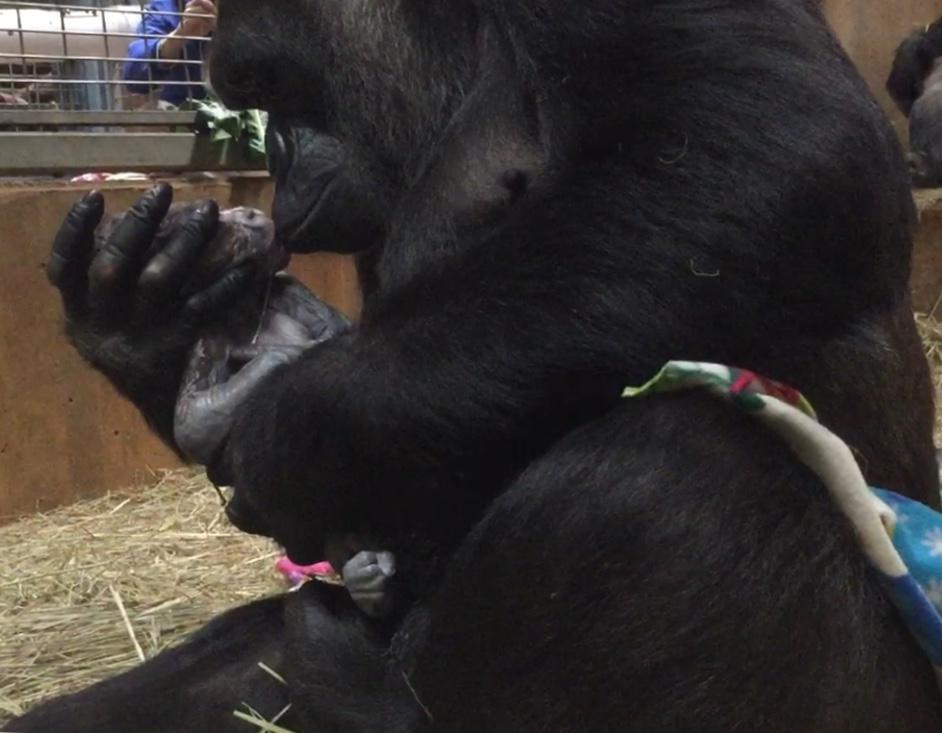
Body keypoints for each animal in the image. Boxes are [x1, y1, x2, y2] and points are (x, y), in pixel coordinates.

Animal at [100, 203, 402, 620]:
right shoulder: (204, 334)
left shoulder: (293, 291)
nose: (248, 212)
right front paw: (282, 355)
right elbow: (192, 422)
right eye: (217, 222)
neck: (246, 306)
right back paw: (365, 578)